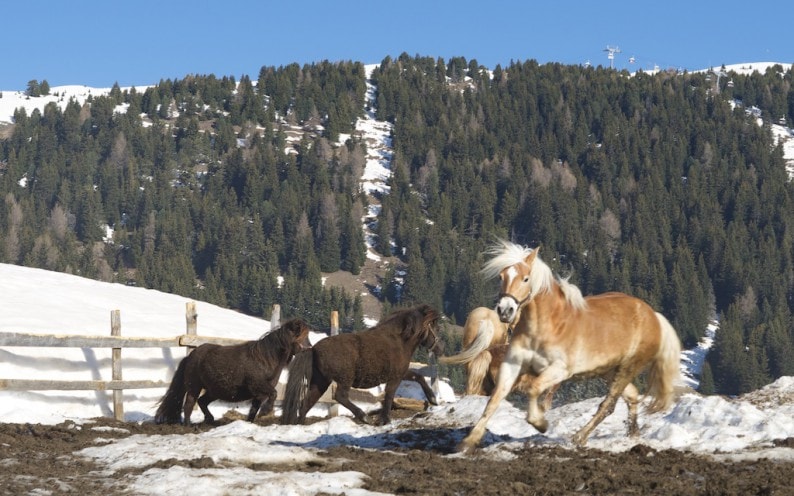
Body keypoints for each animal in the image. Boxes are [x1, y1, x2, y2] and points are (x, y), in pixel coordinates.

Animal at [155, 320, 312, 424]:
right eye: (304, 337)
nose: (310, 348)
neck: (265, 359)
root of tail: (190, 356)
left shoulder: (259, 394)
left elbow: (253, 410)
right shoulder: (258, 386)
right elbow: (273, 394)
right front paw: (265, 412)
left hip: (214, 391)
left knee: (202, 401)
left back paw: (210, 419)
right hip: (194, 387)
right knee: (189, 404)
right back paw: (189, 425)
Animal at [280, 304, 442, 424]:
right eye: (434, 326)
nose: (439, 349)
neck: (399, 340)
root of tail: (313, 349)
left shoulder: (400, 373)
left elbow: (418, 377)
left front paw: (433, 399)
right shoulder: (395, 377)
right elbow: (389, 396)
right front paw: (385, 420)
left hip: (321, 382)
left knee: (307, 403)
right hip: (344, 379)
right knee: (340, 396)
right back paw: (363, 416)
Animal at [458, 241, 680, 454]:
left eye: (526, 279)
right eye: (501, 276)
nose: (505, 311)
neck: (547, 324)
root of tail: (654, 316)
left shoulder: (560, 371)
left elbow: (534, 389)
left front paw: (540, 423)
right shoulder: (512, 365)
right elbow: (495, 399)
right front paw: (468, 442)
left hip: (629, 367)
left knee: (608, 404)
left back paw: (580, 437)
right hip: (610, 370)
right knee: (632, 396)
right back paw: (633, 435)